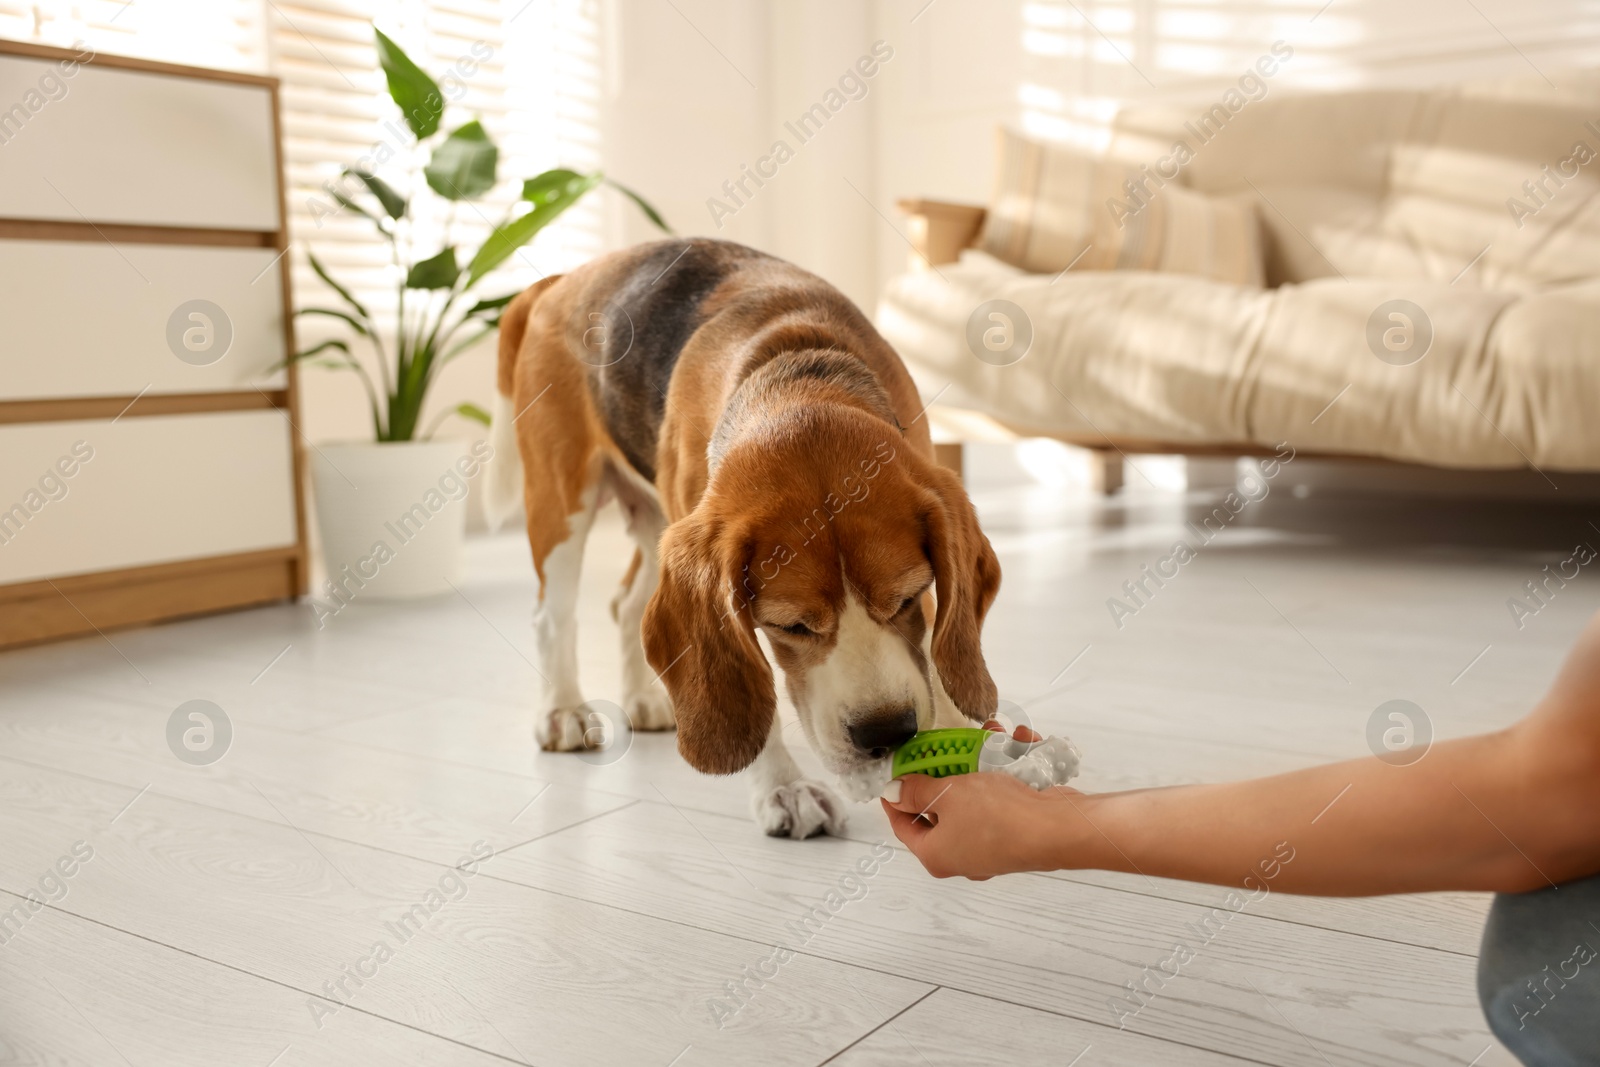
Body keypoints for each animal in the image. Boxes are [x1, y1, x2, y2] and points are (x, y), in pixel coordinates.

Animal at [489, 238, 998, 838]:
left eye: (908, 598)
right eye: (790, 625)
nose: (887, 733)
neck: (796, 381)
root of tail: (565, 279)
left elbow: (938, 653)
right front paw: (783, 787)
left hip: (659, 524)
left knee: (627, 604)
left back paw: (643, 699)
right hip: (563, 499)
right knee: (554, 614)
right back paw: (564, 710)